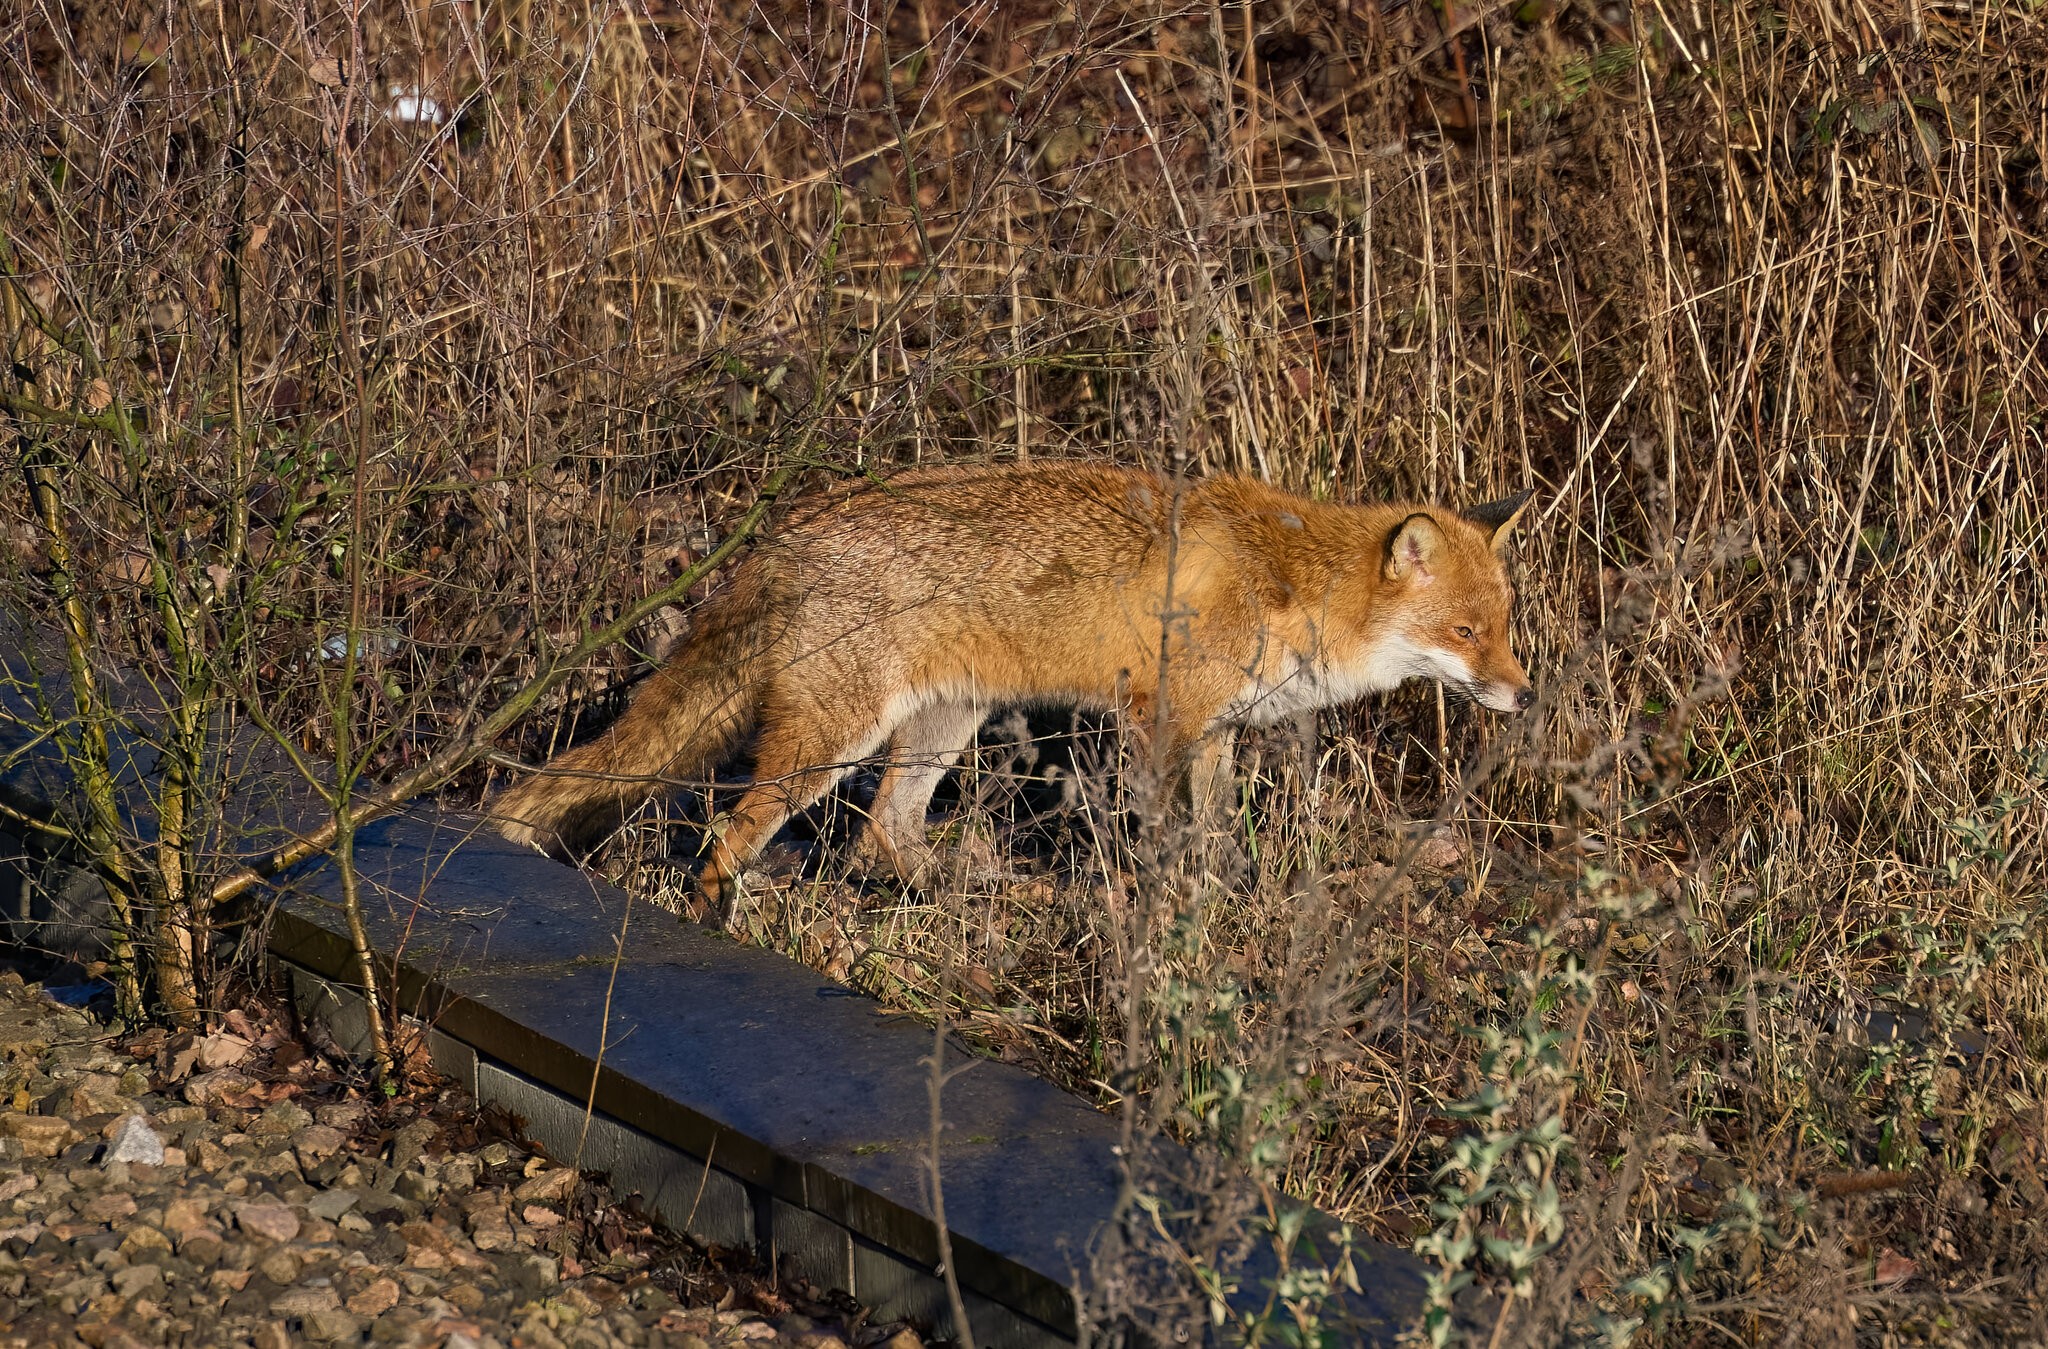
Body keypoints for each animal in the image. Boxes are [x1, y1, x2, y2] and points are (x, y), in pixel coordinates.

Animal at [490, 462, 1535, 917]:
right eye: (1465, 633)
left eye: (1508, 624)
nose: (1525, 696)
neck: (1290, 581)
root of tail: (788, 529)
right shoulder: (1161, 720)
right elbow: (1171, 843)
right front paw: (1173, 920)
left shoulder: (1216, 732)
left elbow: (1215, 839)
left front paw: (1226, 902)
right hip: (832, 739)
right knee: (730, 834)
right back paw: (714, 920)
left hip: (942, 724)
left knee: (882, 839)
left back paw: (985, 890)